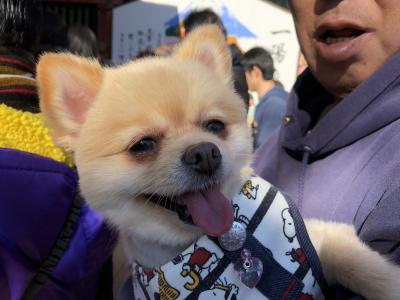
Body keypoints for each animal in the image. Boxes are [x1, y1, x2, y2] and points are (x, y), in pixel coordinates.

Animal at [37, 25, 400, 298]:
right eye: (143, 145)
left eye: (214, 126)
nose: (204, 153)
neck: (223, 244)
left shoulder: (321, 239)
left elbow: (360, 264)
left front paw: (389, 285)